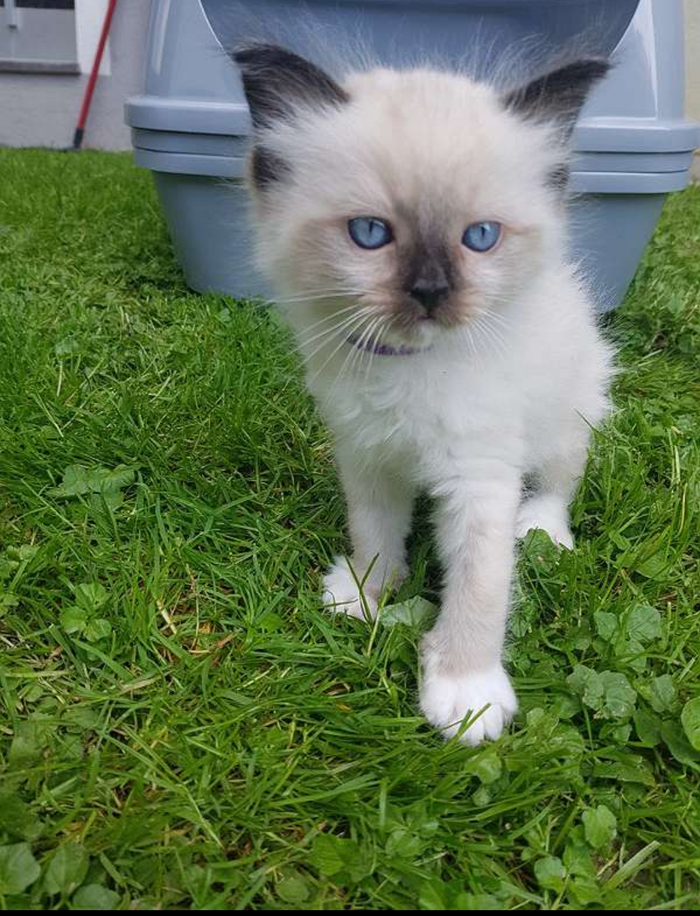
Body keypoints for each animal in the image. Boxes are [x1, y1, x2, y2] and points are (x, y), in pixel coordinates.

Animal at [233, 43, 614, 745]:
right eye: (369, 233)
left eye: (481, 238)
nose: (432, 291)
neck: (407, 369)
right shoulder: (365, 456)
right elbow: (375, 533)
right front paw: (366, 595)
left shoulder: (481, 479)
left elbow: (481, 590)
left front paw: (467, 699)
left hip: (568, 419)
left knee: (559, 484)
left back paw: (543, 532)